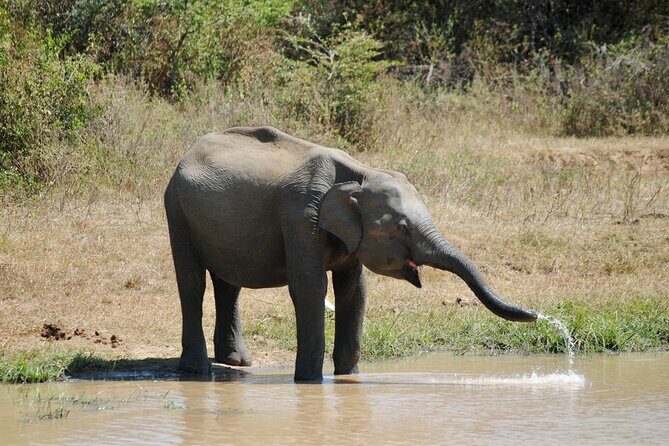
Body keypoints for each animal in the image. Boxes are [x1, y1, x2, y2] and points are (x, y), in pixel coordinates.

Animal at [164, 126, 537, 381]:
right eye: (402, 227)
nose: (536, 315)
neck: (360, 174)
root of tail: (190, 151)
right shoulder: (300, 218)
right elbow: (310, 287)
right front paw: (310, 382)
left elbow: (354, 291)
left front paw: (349, 378)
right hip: (176, 209)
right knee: (192, 282)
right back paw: (197, 370)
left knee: (229, 284)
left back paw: (238, 362)